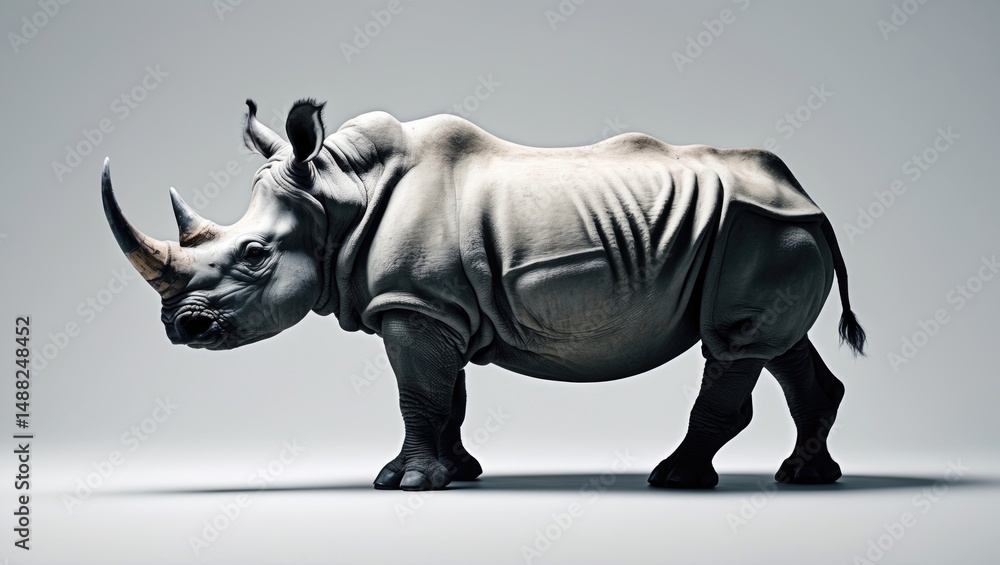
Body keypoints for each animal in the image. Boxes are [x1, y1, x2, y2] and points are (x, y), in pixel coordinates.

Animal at [101, 99, 866, 490]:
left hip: (756, 229)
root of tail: (808, 197)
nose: (182, 325)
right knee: (778, 346)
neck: (342, 195)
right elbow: (448, 397)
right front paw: (459, 472)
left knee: (734, 346)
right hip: (770, 233)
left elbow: (418, 393)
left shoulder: (413, 306)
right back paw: (806, 477)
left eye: (254, 254)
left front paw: (403, 483)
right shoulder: (436, 307)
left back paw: (675, 480)